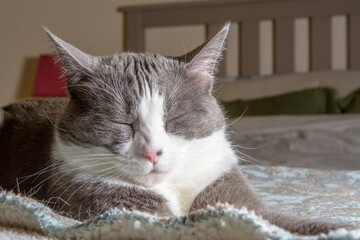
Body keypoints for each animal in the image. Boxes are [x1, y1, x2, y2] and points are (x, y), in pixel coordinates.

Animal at [0, 23, 348, 234]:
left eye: (174, 120)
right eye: (122, 123)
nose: (153, 152)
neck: (172, 188)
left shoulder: (223, 181)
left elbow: (271, 218)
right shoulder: (105, 201)